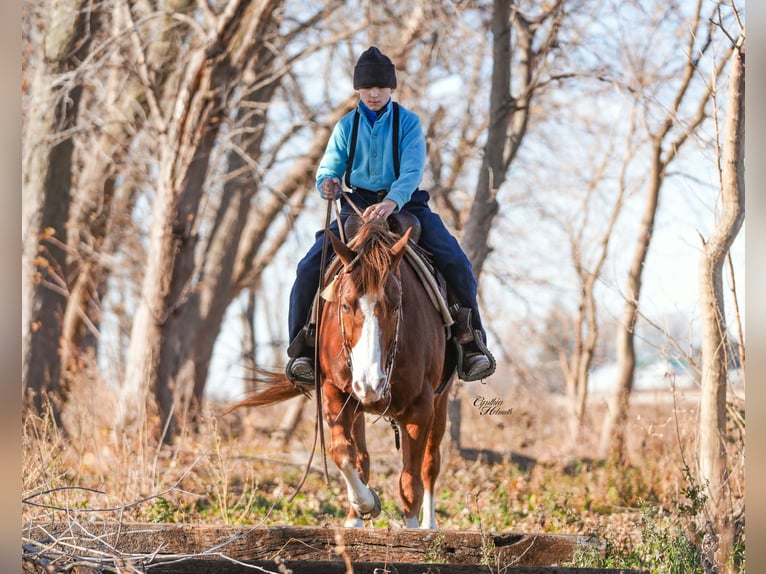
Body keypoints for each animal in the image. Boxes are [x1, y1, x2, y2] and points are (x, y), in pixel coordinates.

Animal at [231, 218, 453, 529]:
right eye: (346, 305)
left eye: (397, 307)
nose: (371, 383)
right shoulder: (334, 393)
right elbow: (344, 454)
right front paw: (366, 504)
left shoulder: (420, 406)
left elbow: (411, 482)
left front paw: (412, 530)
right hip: (357, 405)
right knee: (363, 458)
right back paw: (354, 519)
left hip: (439, 401)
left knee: (430, 464)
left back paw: (429, 525)